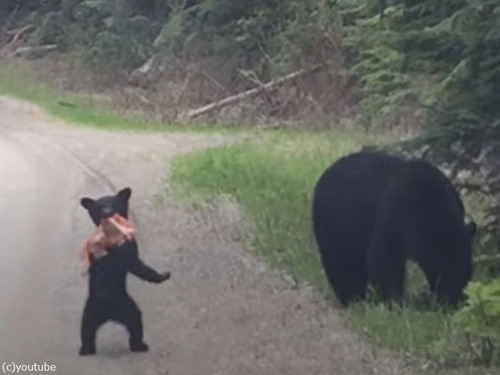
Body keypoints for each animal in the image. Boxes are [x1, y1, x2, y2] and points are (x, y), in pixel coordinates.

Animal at [78, 187, 171, 356]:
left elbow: (138, 266)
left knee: (134, 324)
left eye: (113, 203)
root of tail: (110, 316)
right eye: (100, 206)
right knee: (87, 329)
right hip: (91, 310)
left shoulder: (130, 252)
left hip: (127, 308)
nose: (107, 212)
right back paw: (87, 349)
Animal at [310, 151, 478, 306]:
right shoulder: (398, 207)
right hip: (334, 222)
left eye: (467, 272)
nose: (456, 301)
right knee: (341, 262)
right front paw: (396, 302)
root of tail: (324, 175)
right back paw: (353, 298)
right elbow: (384, 256)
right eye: (448, 270)